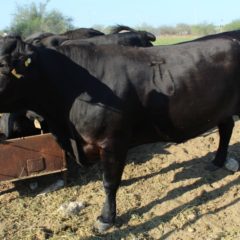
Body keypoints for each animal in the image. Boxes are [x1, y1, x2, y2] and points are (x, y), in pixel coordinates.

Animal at [0, 36, 240, 232]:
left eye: (3, 67)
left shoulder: (112, 141)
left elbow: (109, 182)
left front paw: (106, 218)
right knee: (226, 127)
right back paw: (217, 161)